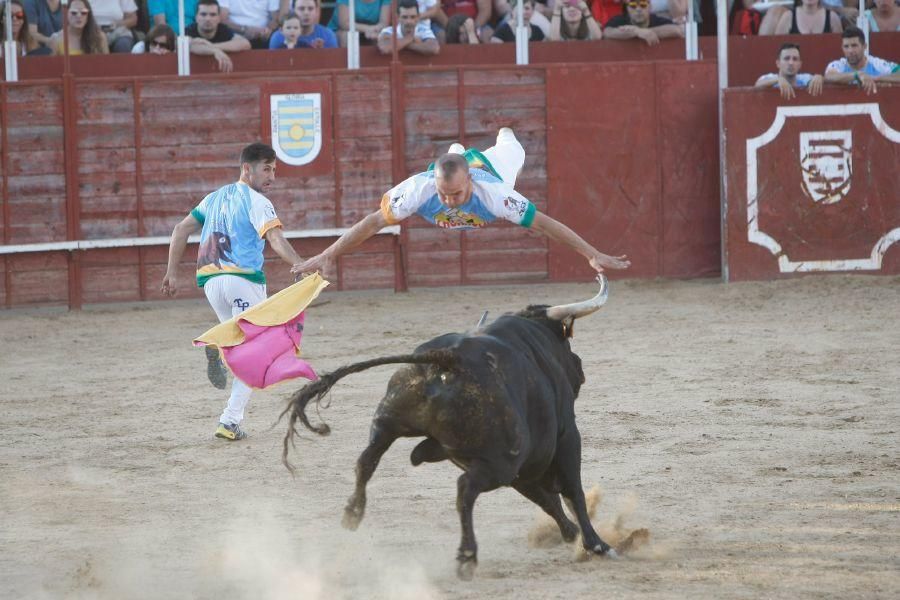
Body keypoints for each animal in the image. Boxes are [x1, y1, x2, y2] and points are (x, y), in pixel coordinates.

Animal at [282, 276, 616, 576]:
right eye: (566, 340)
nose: (580, 367)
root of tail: (447, 358)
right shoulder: (565, 439)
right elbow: (572, 492)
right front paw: (596, 544)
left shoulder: (525, 466)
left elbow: (547, 499)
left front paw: (570, 533)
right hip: (501, 463)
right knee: (465, 489)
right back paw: (467, 556)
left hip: (389, 421)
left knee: (366, 460)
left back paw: (353, 512)